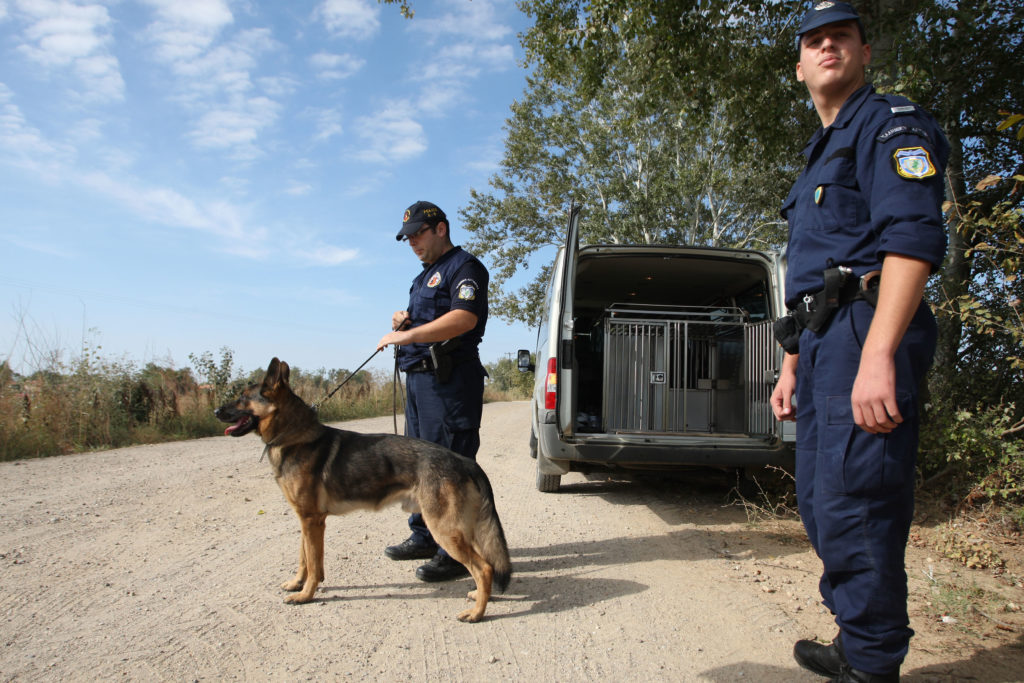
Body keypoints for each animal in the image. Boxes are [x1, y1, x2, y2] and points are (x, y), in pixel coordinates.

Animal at [216, 360, 512, 622]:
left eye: (242, 398)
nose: (217, 411)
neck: (293, 435)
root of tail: (465, 461)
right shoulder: (305, 521)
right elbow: (304, 560)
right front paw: (296, 584)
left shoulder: (313, 521)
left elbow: (314, 564)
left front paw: (305, 595)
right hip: (461, 529)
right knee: (484, 564)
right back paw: (477, 596)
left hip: (445, 530)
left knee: (484, 568)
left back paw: (477, 613)